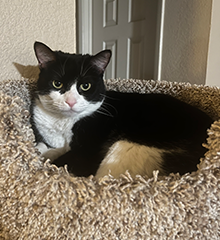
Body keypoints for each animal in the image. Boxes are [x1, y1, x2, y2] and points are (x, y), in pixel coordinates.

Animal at [31, 41, 213, 178]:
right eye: (57, 83)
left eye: (85, 86)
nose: (70, 101)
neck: (63, 122)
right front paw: (43, 149)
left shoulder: (86, 154)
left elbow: (58, 163)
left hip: (129, 147)